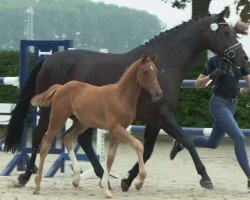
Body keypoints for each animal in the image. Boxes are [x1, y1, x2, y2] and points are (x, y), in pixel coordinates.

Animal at [30, 53, 162, 198]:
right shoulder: (116, 129)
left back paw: (76, 178)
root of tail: (60, 87)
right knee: (46, 144)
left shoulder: (117, 132)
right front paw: (139, 182)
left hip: (82, 123)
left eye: (156, 72)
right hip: (57, 119)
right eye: (145, 72)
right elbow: (138, 145)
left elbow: (110, 158)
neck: (121, 97)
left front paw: (106, 187)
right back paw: (37, 185)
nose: (158, 93)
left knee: (67, 137)